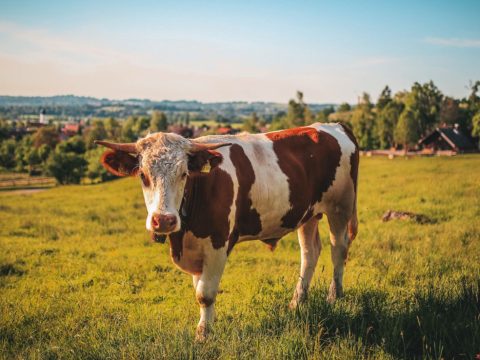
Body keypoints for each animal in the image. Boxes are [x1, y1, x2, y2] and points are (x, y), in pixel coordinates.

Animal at [94, 123, 356, 340]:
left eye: (184, 174)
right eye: (142, 175)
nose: (164, 220)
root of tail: (333, 125)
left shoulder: (218, 244)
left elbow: (205, 294)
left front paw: (203, 335)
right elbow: (199, 288)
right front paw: (208, 324)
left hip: (340, 206)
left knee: (338, 249)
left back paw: (334, 296)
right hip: (308, 214)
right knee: (310, 252)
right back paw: (297, 302)